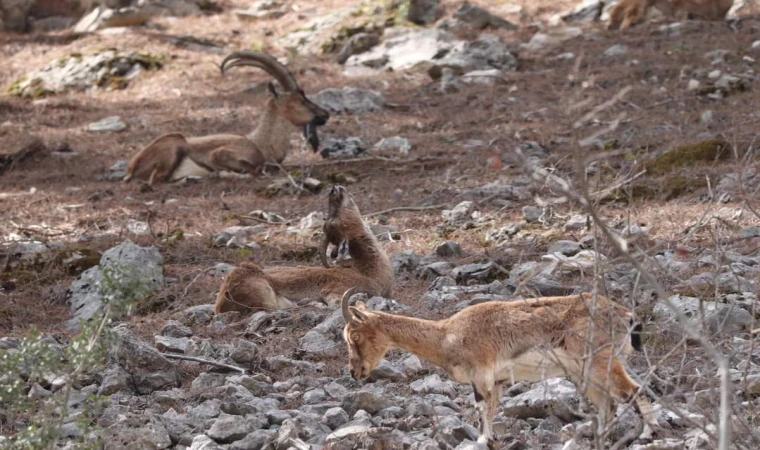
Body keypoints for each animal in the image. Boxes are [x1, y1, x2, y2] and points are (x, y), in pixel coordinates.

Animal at [122, 51, 330, 185]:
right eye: (301, 100)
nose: (325, 114)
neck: (261, 143)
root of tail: (131, 169)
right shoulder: (221, 154)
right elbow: (254, 169)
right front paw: (226, 174)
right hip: (175, 143)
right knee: (156, 180)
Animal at [342, 292, 656, 446]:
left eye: (354, 335)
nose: (355, 373)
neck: (446, 334)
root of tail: (626, 315)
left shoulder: (481, 373)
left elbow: (481, 408)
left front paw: (481, 439)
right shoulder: (499, 380)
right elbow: (492, 409)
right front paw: (491, 437)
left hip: (601, 360)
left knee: (633, 391)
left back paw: (646, 435)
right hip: (585, 372)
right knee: (608, 402)